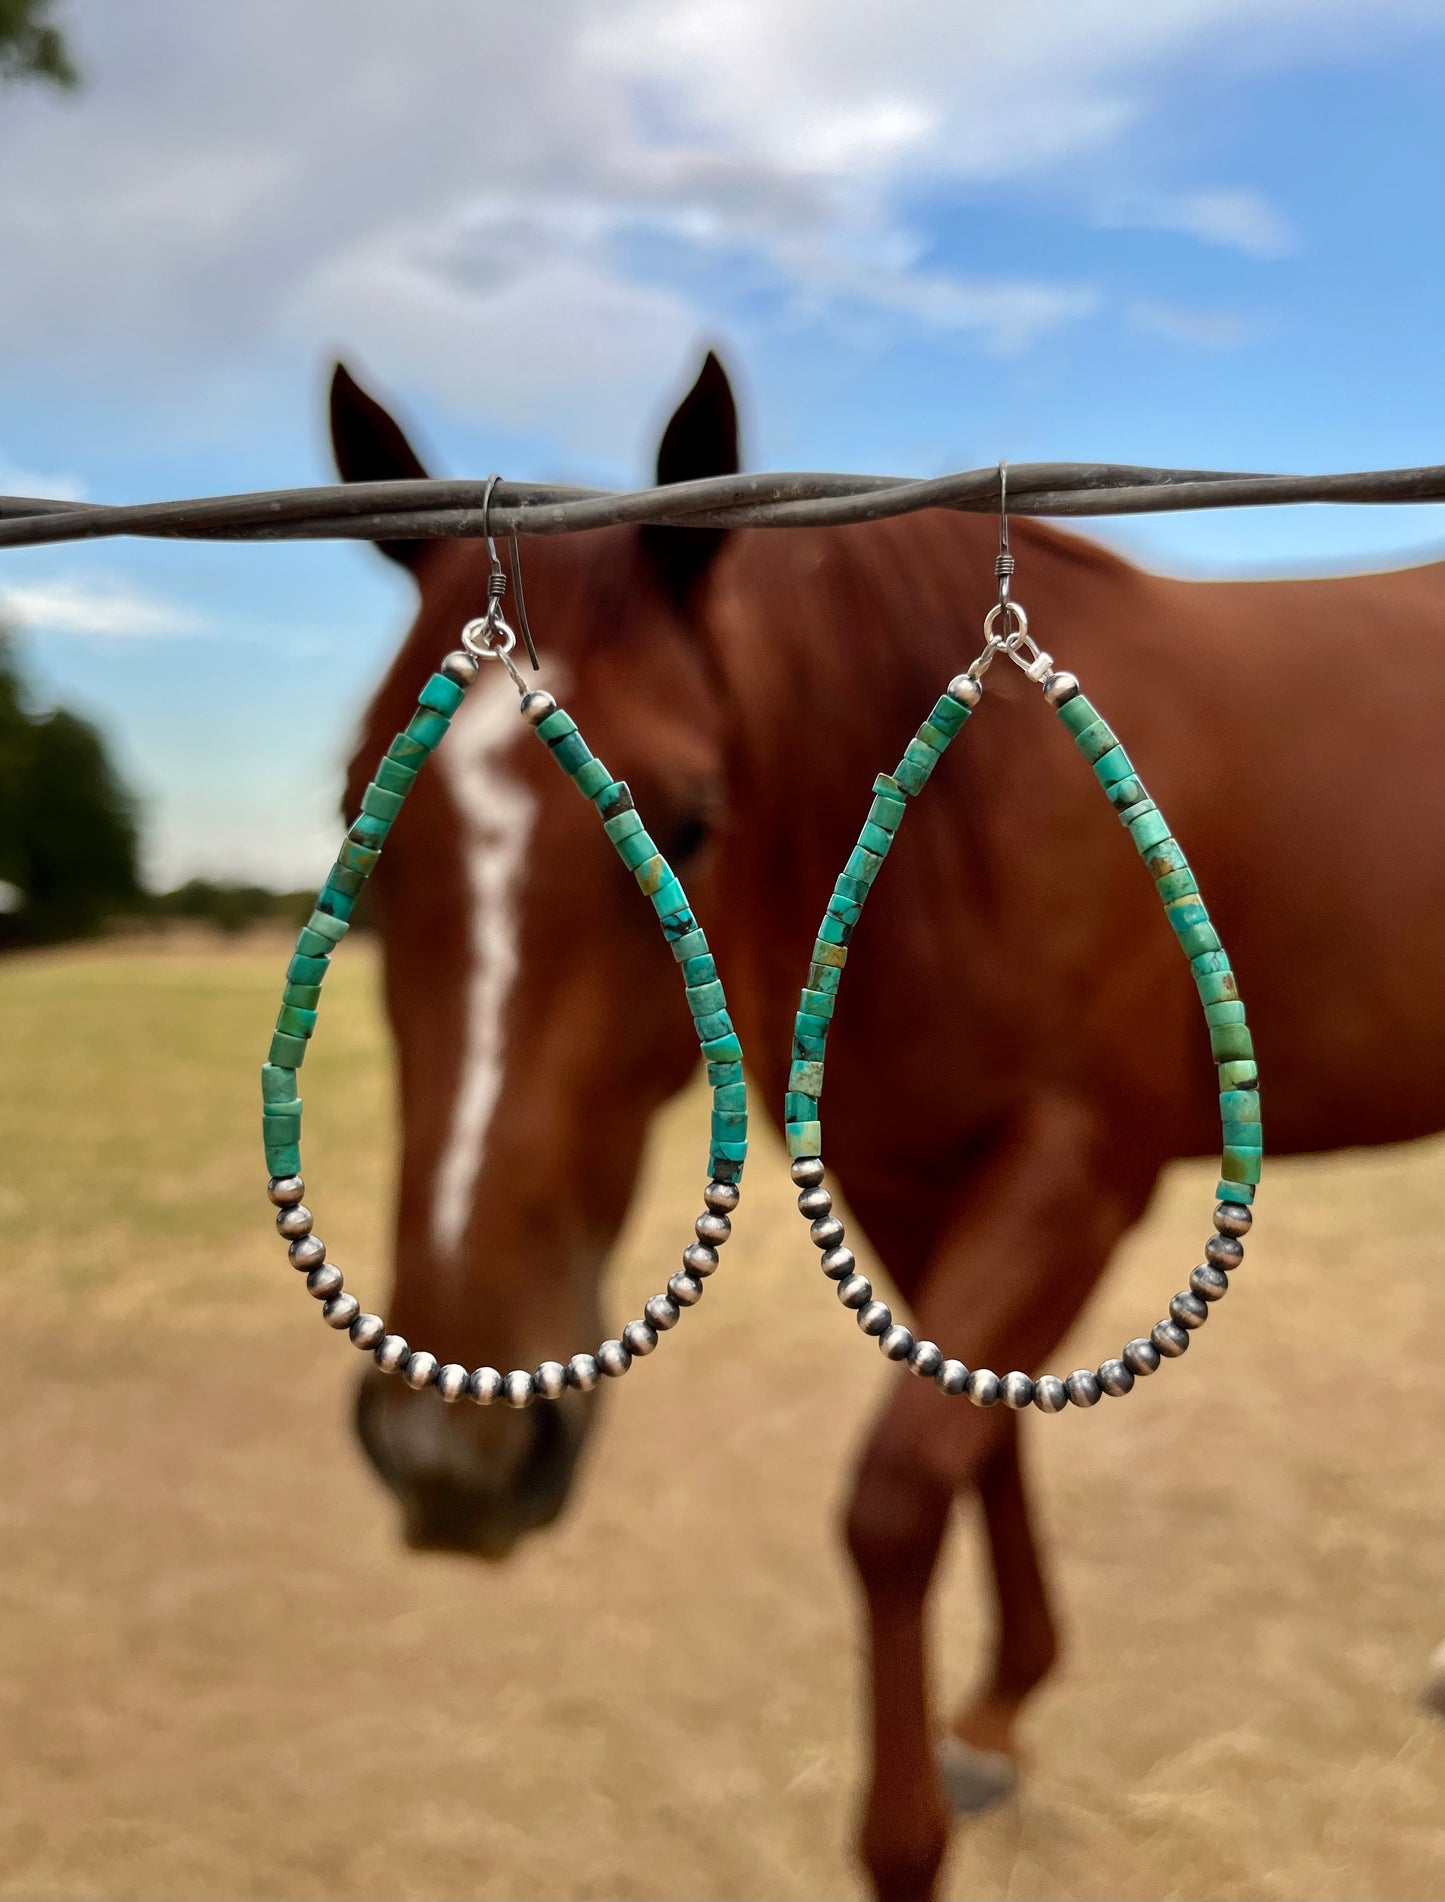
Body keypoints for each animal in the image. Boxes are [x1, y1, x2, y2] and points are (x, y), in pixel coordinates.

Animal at [327, 357, 1445, 1902]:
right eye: (358, 822)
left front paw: (910, 1828)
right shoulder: (902, 1176)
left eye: (688, 819)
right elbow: (982, 1438)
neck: (963, 820)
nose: (456, 1455)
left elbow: (899, 1489)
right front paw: (995, 1715)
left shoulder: (1077, 1171)